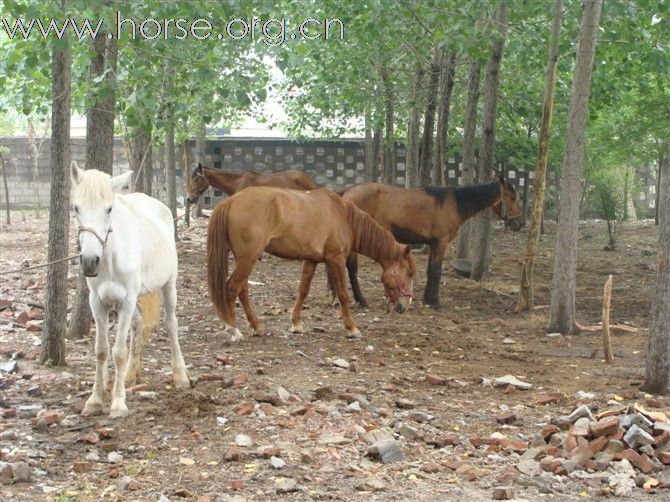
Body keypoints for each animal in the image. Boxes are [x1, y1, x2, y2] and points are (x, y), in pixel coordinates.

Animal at [71, 163, 192, 418]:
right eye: (76, 207)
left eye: (109, 209)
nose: (89, 261)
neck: (110, 260)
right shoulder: (97, 303)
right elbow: (101, 350)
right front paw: (95, 400)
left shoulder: (125, 301)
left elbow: (118, 352)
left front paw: (118, 404)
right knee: (138, 323)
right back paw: (129, 376)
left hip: (169, 285)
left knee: (171, 324)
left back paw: (180, 376)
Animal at [206, 186, 414, 344]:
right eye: (409, 273)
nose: (405, 306)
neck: (342, 216)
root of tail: (230, 201)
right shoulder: (336, 260)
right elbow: (343, 294)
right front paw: (351, 328)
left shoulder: (311, 260)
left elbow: (303, 290)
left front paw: (296, 324)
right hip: (248, 258)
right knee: (232, 288)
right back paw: (233, 330)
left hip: (244, 259)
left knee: (242, 290)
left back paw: (256, 326)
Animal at [342, 176, 524, 310]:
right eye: (513, 197)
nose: (520, 224)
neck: (454, 204)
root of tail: (347, 192)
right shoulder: (441, 243)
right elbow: (437, 272)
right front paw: (435, 302)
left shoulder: (433, 245)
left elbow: (430, 271)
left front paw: (427, 300)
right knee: (352, 268)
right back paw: (361, 300)